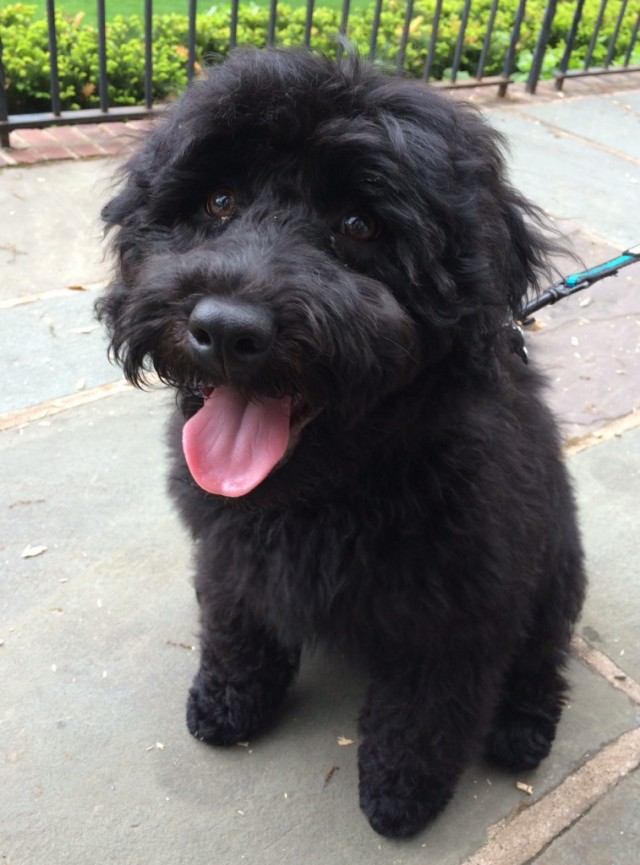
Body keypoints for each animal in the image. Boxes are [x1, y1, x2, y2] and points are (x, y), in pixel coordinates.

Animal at [99, 49, 584, 836]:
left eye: (360, 224)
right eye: (219, 201)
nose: (225, 329)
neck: (326, 489)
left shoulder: (459, 611)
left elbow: (423, 715)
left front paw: (401, 794)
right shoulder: (230, 557)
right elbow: (235, 630)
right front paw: (227, 702)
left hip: (554, 576)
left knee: (543, 662)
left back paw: (522, 727)